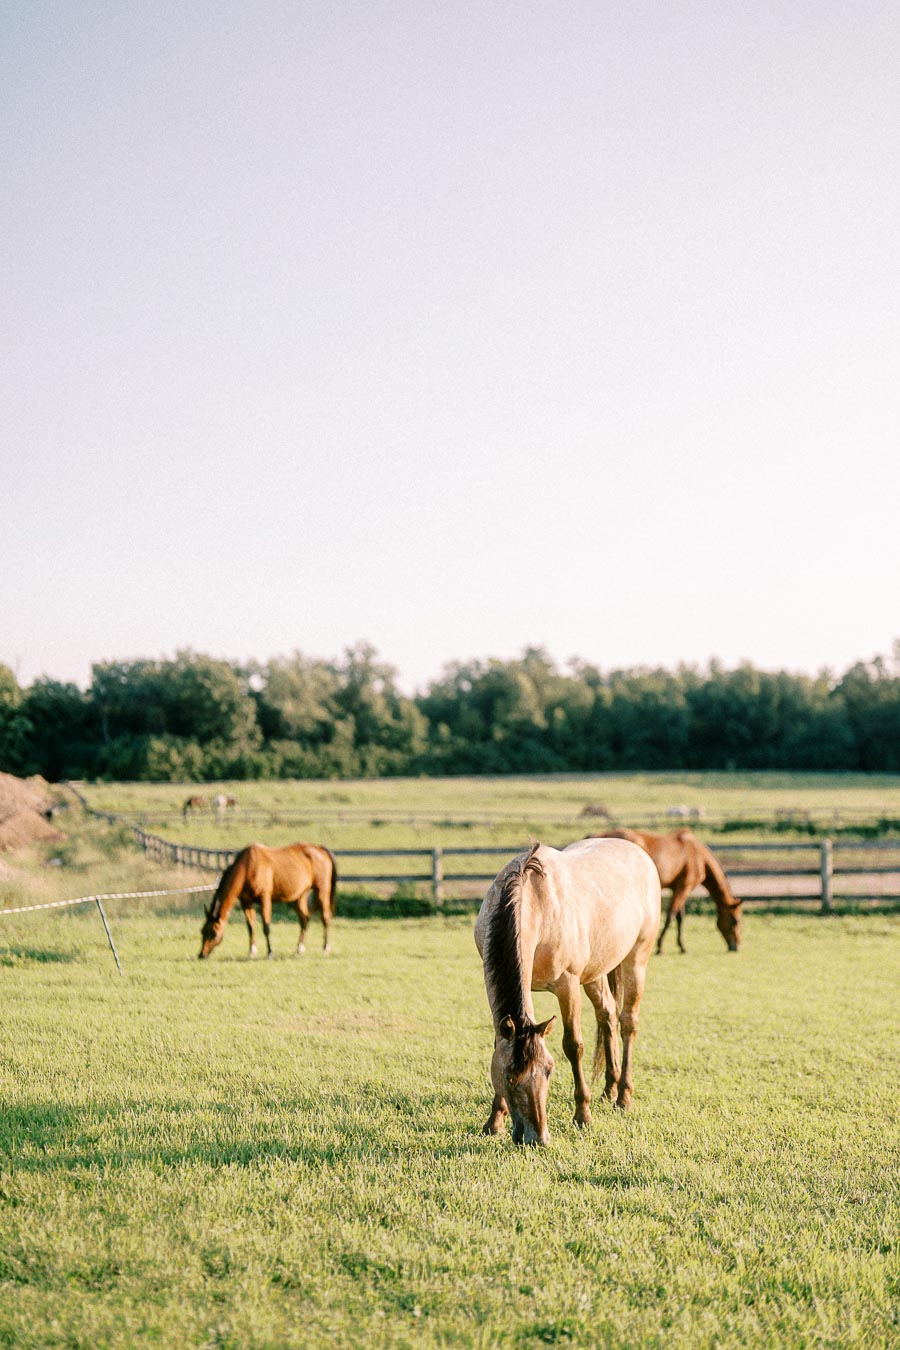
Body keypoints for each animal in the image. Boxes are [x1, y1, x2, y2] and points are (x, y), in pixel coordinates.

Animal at [198, 842, 338, 960]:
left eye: (214, 934)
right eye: (202, 931)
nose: (202, 955)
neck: (248, 866)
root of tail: (320, 849)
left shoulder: (265, 898)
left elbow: (266, 927)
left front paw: (270, 952)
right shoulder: (246, 902)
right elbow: (250, 927)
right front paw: (252, 951)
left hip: (322, 891)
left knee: (325, 917)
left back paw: (326, 948)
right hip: (299, 897)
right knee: (304, 919)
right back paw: (299, 950)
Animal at [474, 838, 661, 1146]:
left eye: (549, 1071)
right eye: (510, 1076)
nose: (538, 1138)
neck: (533, 901)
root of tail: (638, 851)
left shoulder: (567, 985)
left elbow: (573, 1046)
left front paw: (582, 1115)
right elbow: (498, 1046)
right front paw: (494, 1121)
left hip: (637, 959)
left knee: (627, 1023)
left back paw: (623, 1096)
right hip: (596, 973)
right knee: (607, 1015)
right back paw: (609, 1089)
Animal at [594, 828, 742, 954]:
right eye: (735, 921)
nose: (736, 946)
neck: (698, 855)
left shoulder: (677, 888)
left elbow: (680, 917)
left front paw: (681, 946)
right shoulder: (684, 887)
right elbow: (671, 915)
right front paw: (660, 947)